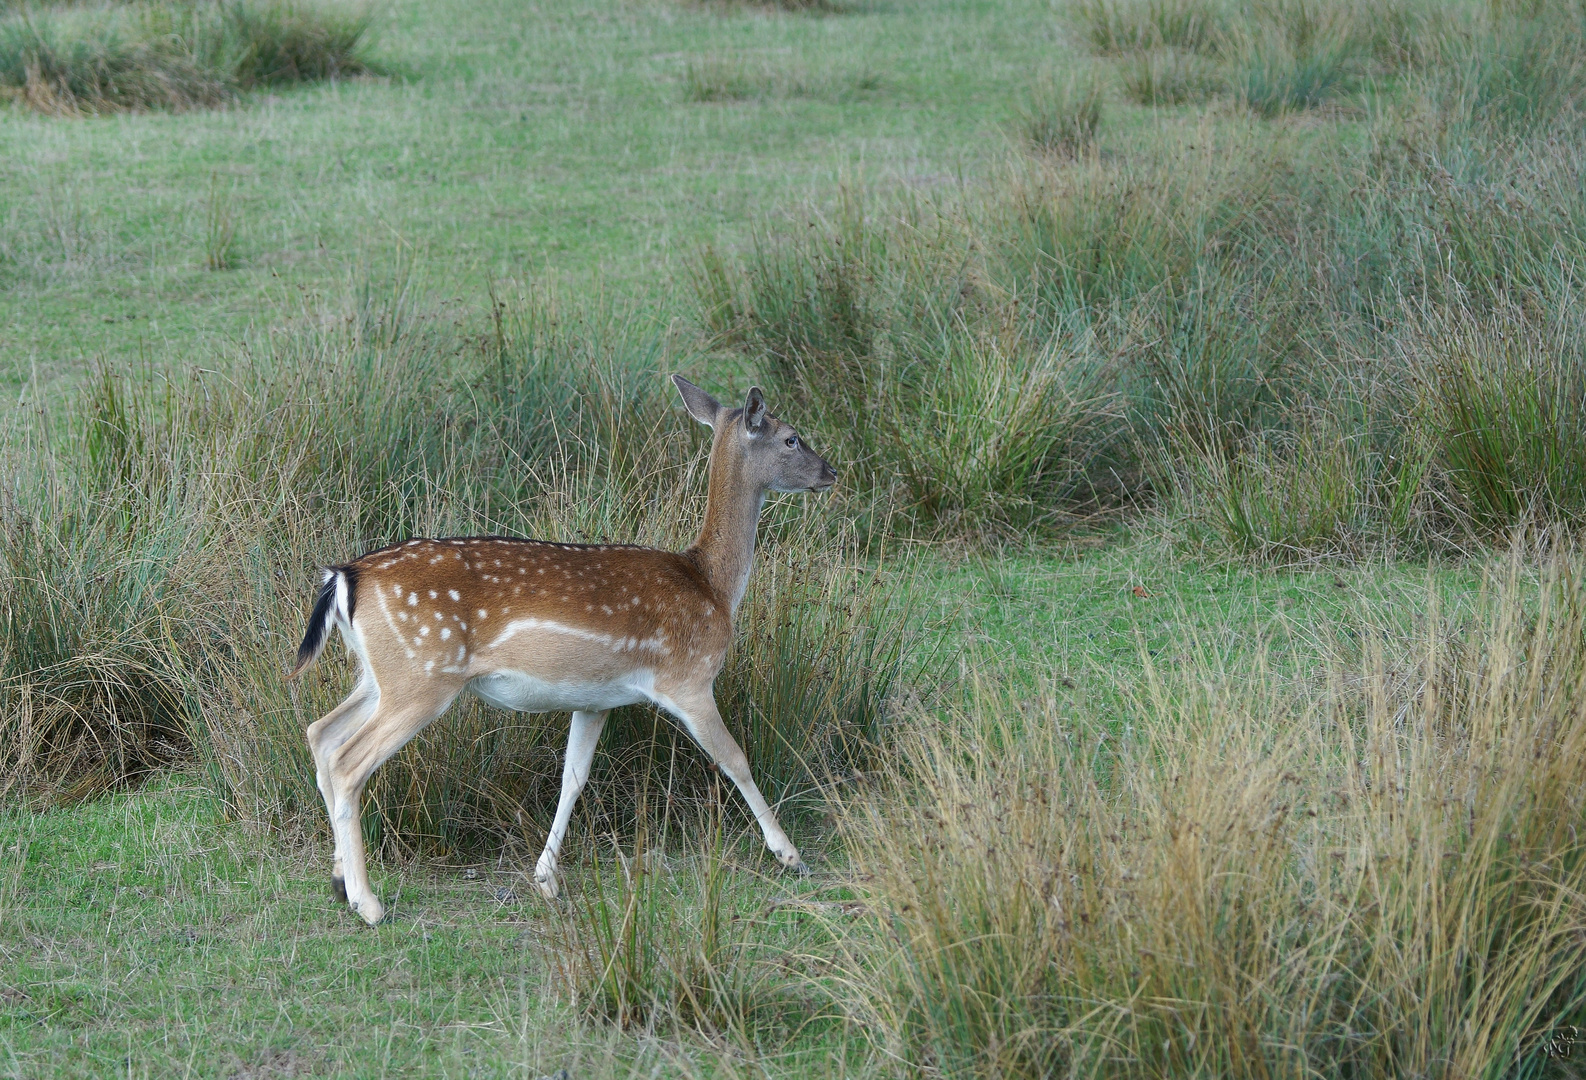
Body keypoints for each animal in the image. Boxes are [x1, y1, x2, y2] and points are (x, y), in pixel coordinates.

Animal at [290, 374, 837, 919]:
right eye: (791, 438)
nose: (830, 472)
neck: (712, 586)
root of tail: (344, 578)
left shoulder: (595, 700)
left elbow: (573, 777)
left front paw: (545, 878)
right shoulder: (689, 678)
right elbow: (735, 758)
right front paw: (790, 854)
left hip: (379, 674)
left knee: (321, 733)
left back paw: (340, 882)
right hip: (421, 678)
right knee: (347, 762)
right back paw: (368, 902)